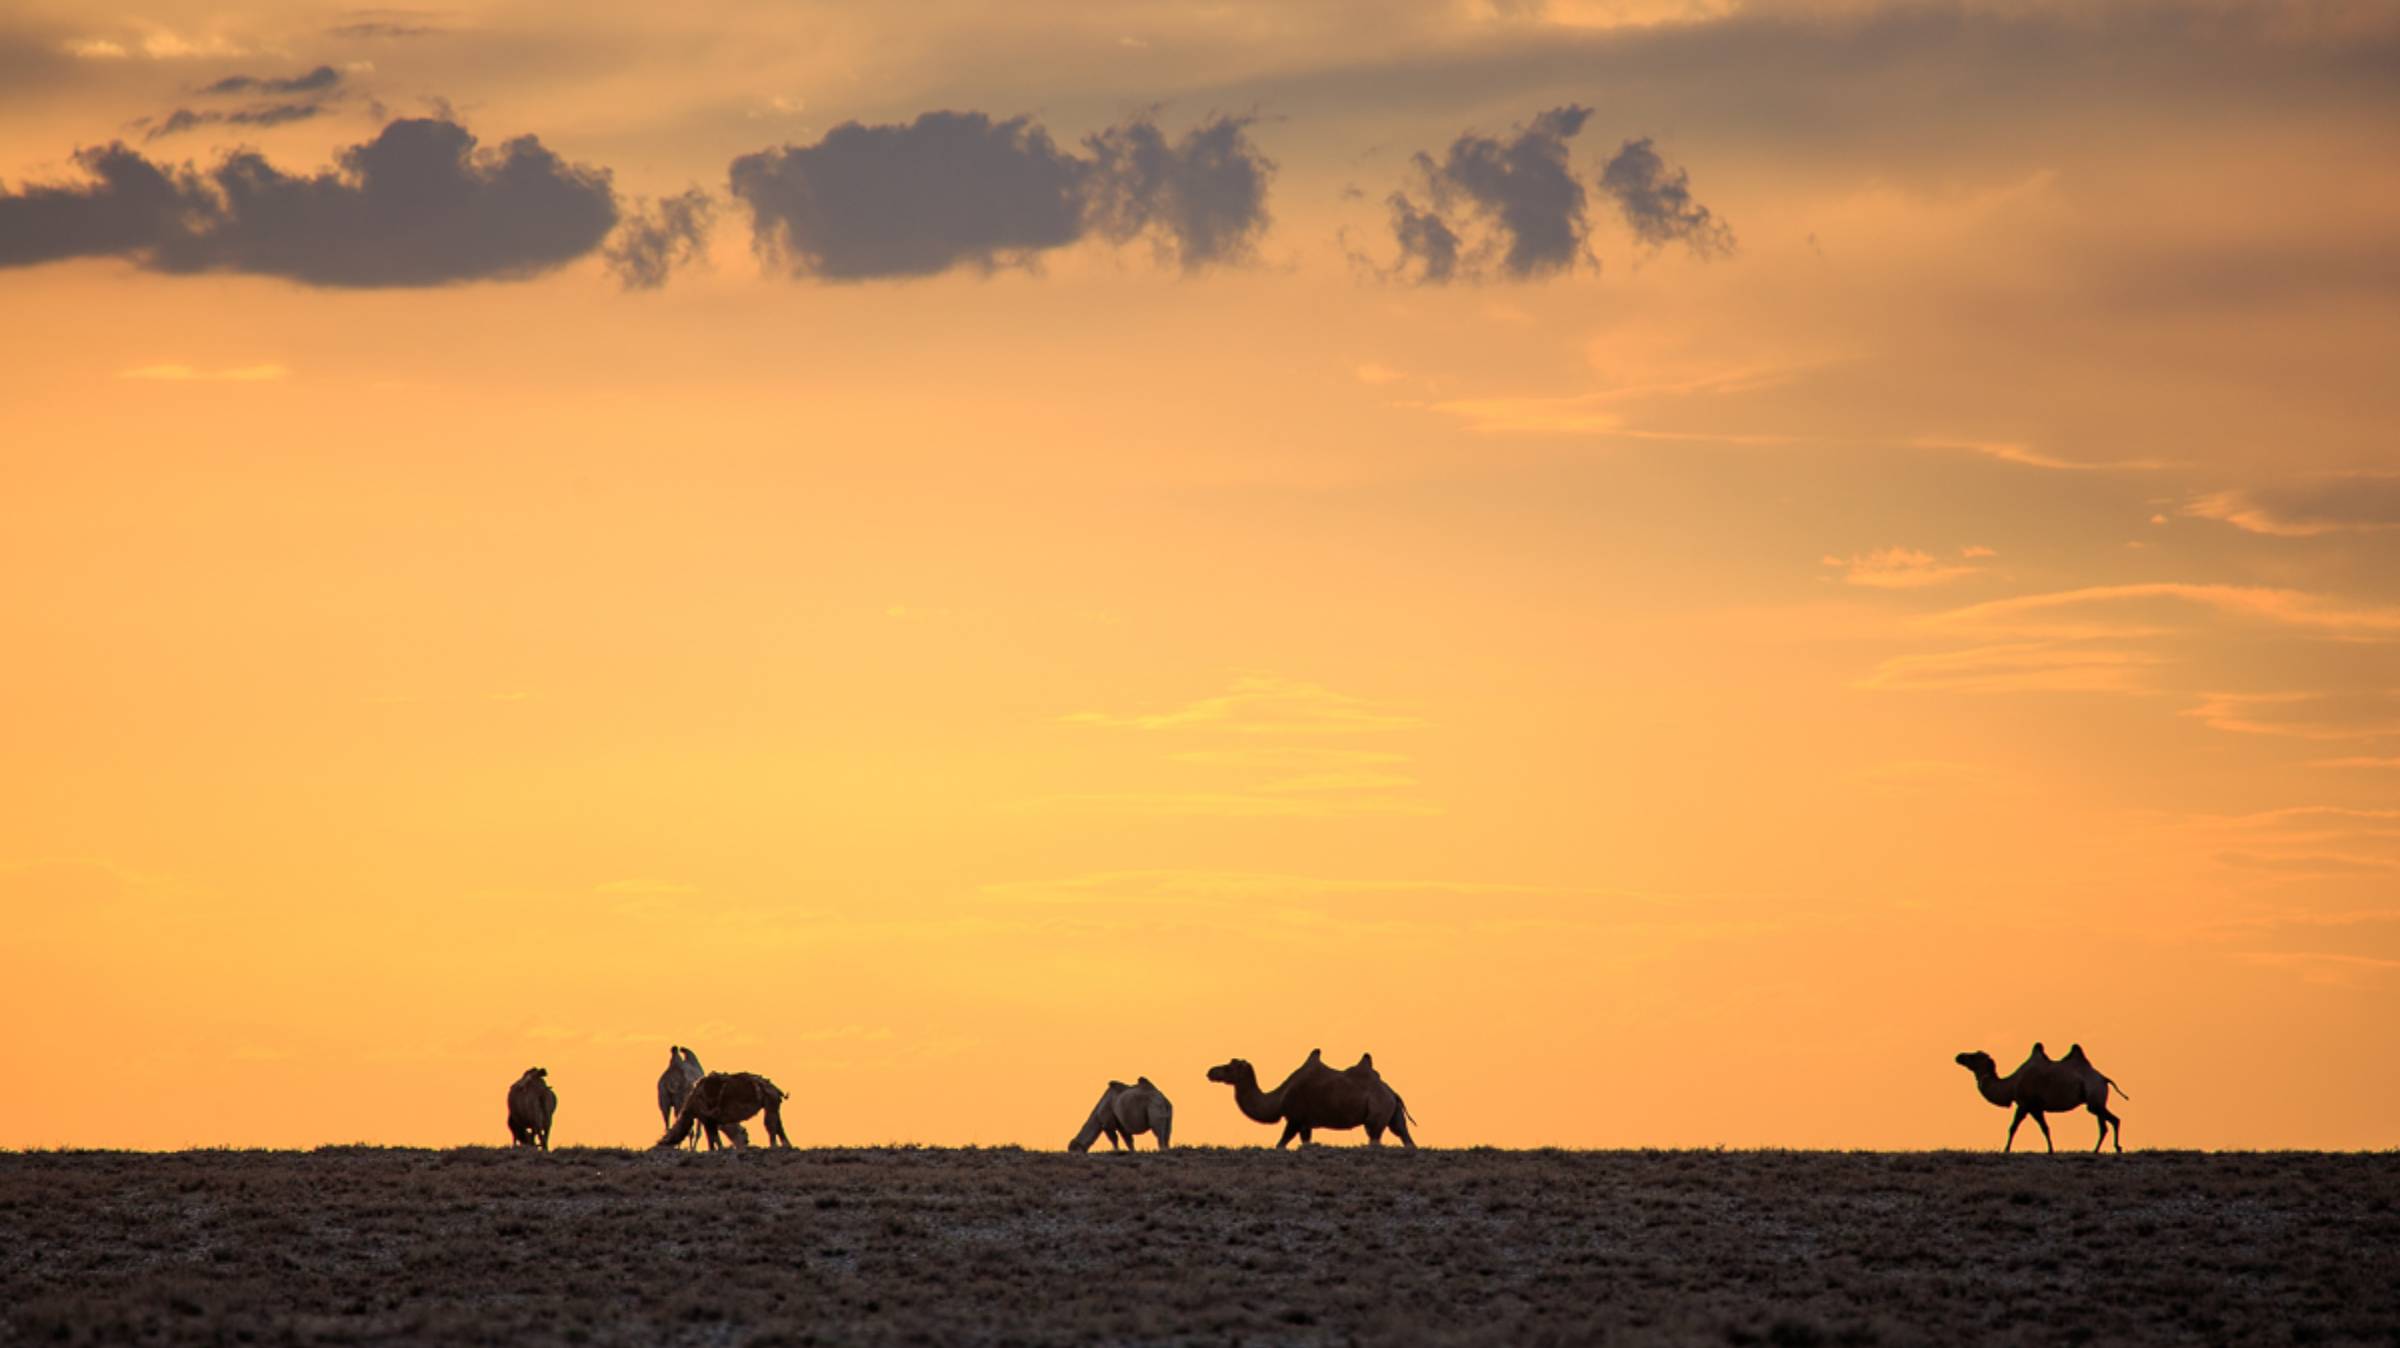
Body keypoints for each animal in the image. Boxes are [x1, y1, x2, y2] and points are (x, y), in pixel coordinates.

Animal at [652, 1069, 792, 1141]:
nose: (660, 1143)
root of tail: (776, 1089)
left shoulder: (706, 1118)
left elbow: (713, 1141)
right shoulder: (710, 1121)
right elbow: (715, 1140)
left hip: (770, 1101)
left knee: (770, 1125)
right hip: (773, 1104)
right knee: (779, 1127)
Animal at [1209, 1045, 1411, 1151]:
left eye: (1229, 1066)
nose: (1210, 1072)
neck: (1279, 1098)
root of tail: (1392, 1093)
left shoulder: (1295, 1119)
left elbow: (1281, 1143)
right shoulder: (1306, 1125)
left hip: (1377, 1114)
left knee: (1374, 1136)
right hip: (1393, 1114)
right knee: (1404, 1134)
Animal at [1948, 1031, 2140, 1151]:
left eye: (1974, 1056)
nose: (1958, 1056)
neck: (2011, 1084)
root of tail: (2104, 1079)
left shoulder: (2025, 1104)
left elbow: (2014, 1127)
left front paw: (2006, 1149)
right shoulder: (2036, 1108)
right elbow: (2045, 1128)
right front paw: (2051, 1150)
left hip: (2094, 1098)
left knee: (2112, 1120)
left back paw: (2112, 1148)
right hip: (2096, 1101)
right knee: (2106, 1124)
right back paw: (2099, 1150)